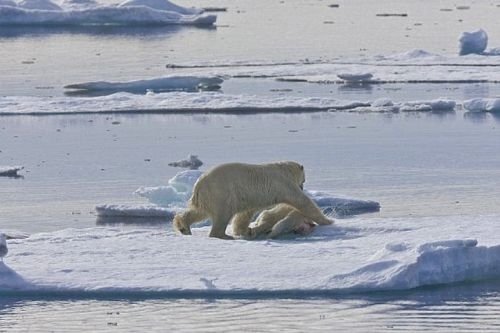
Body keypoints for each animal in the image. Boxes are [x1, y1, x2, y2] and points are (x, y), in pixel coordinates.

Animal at [174, 161, 334, 239]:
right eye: (304, 180)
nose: (302, 186)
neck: (284, 170)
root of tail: (199, 184)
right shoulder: (283, 184)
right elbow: (302, 201)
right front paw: (328, 221)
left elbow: (245, 213)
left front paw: (244, 230)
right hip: (221, 192)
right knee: (222, 214)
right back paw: (223, 235)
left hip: (208, 196)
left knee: (199, 212)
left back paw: (183, 226)